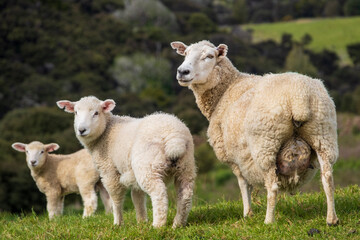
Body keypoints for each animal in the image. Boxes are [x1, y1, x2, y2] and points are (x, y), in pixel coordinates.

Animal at [57, 95, 197, 227]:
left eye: (96, 113)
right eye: (76, 112)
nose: (81, 130)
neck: (106, 131)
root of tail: (173, 136)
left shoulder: (109, 171)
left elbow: (115, 199)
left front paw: (118, 223)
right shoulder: (131, 171)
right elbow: (137, 197)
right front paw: (141, 221)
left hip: (147, 165)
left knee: (159, 193)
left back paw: (158, 225)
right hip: (185, 166)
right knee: (185, 195)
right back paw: (177, 224)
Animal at [170, 40, 338, 226]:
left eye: (209, 56)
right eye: (185, 54)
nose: (182, 72)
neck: (227, 88)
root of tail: (299, 96)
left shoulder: (234, 157)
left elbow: (243, 184)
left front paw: (247, 214)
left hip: (266, 144)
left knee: (272, 186)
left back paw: (268, 221)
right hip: (323, 135)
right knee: (328, 178)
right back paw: (331, 219)